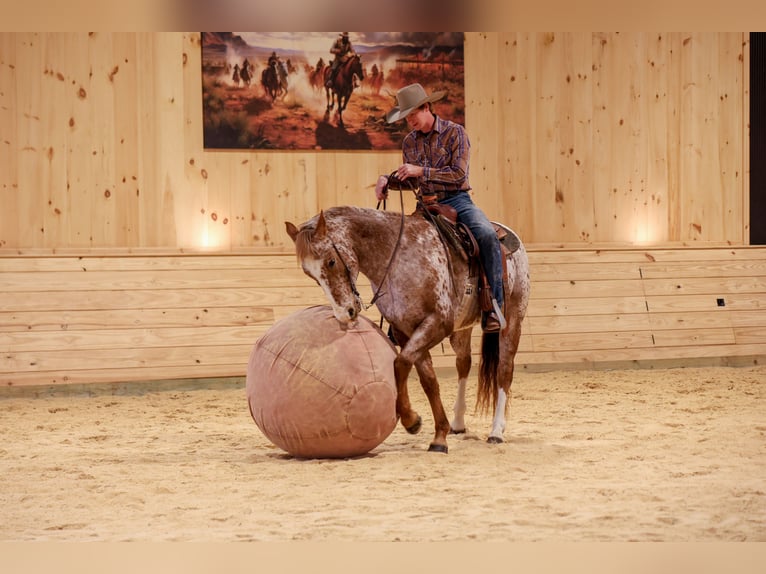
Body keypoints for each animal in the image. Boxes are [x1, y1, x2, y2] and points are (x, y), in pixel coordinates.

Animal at [285, 205, 530, 453]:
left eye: (331, 261)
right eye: (309, 273)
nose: (345, 312)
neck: (399, 257)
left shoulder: (437, 323)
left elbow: (401, 363)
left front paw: (412, 421)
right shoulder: (406, 330)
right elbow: (428, 379)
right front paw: (437, 433)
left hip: (512, 321)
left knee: (504, 370)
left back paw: (496, 431)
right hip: (461, 331)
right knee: (464, 363)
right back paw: (458, 423)